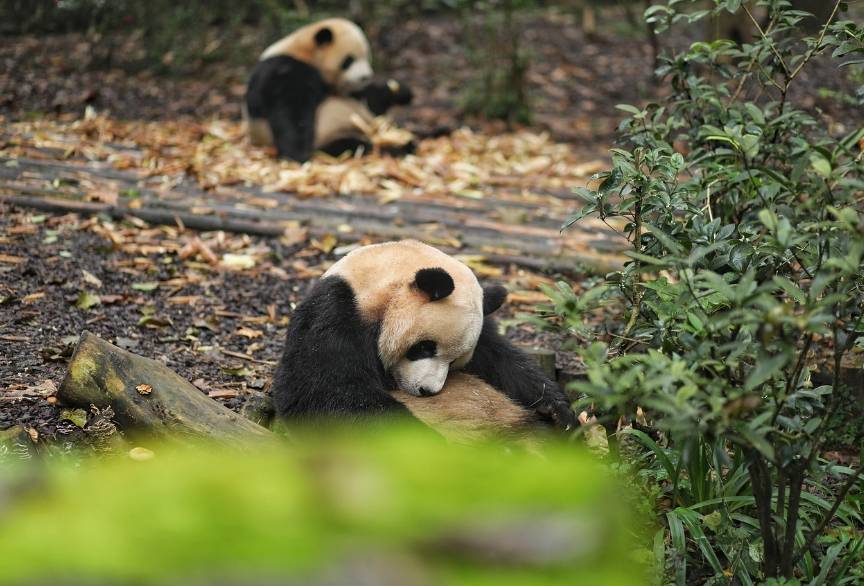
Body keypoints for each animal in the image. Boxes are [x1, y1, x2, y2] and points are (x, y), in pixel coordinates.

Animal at [245, 18, 414, 162]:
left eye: (366, 56)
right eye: (349, 60)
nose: (365, 77)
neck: (304, 51)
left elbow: (370, 100)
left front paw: (401, 92)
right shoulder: (286, 68)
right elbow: (291, 109)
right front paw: (297, 155)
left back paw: (406, 144)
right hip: (330, 134)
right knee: (351, 146)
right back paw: (392, 149)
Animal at [272, 238, 580, 442]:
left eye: (455, 362)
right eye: (424, 348)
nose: (427, 391)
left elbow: (502, 361)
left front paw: (559, 412)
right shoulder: (336, 313)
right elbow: (326, 393)